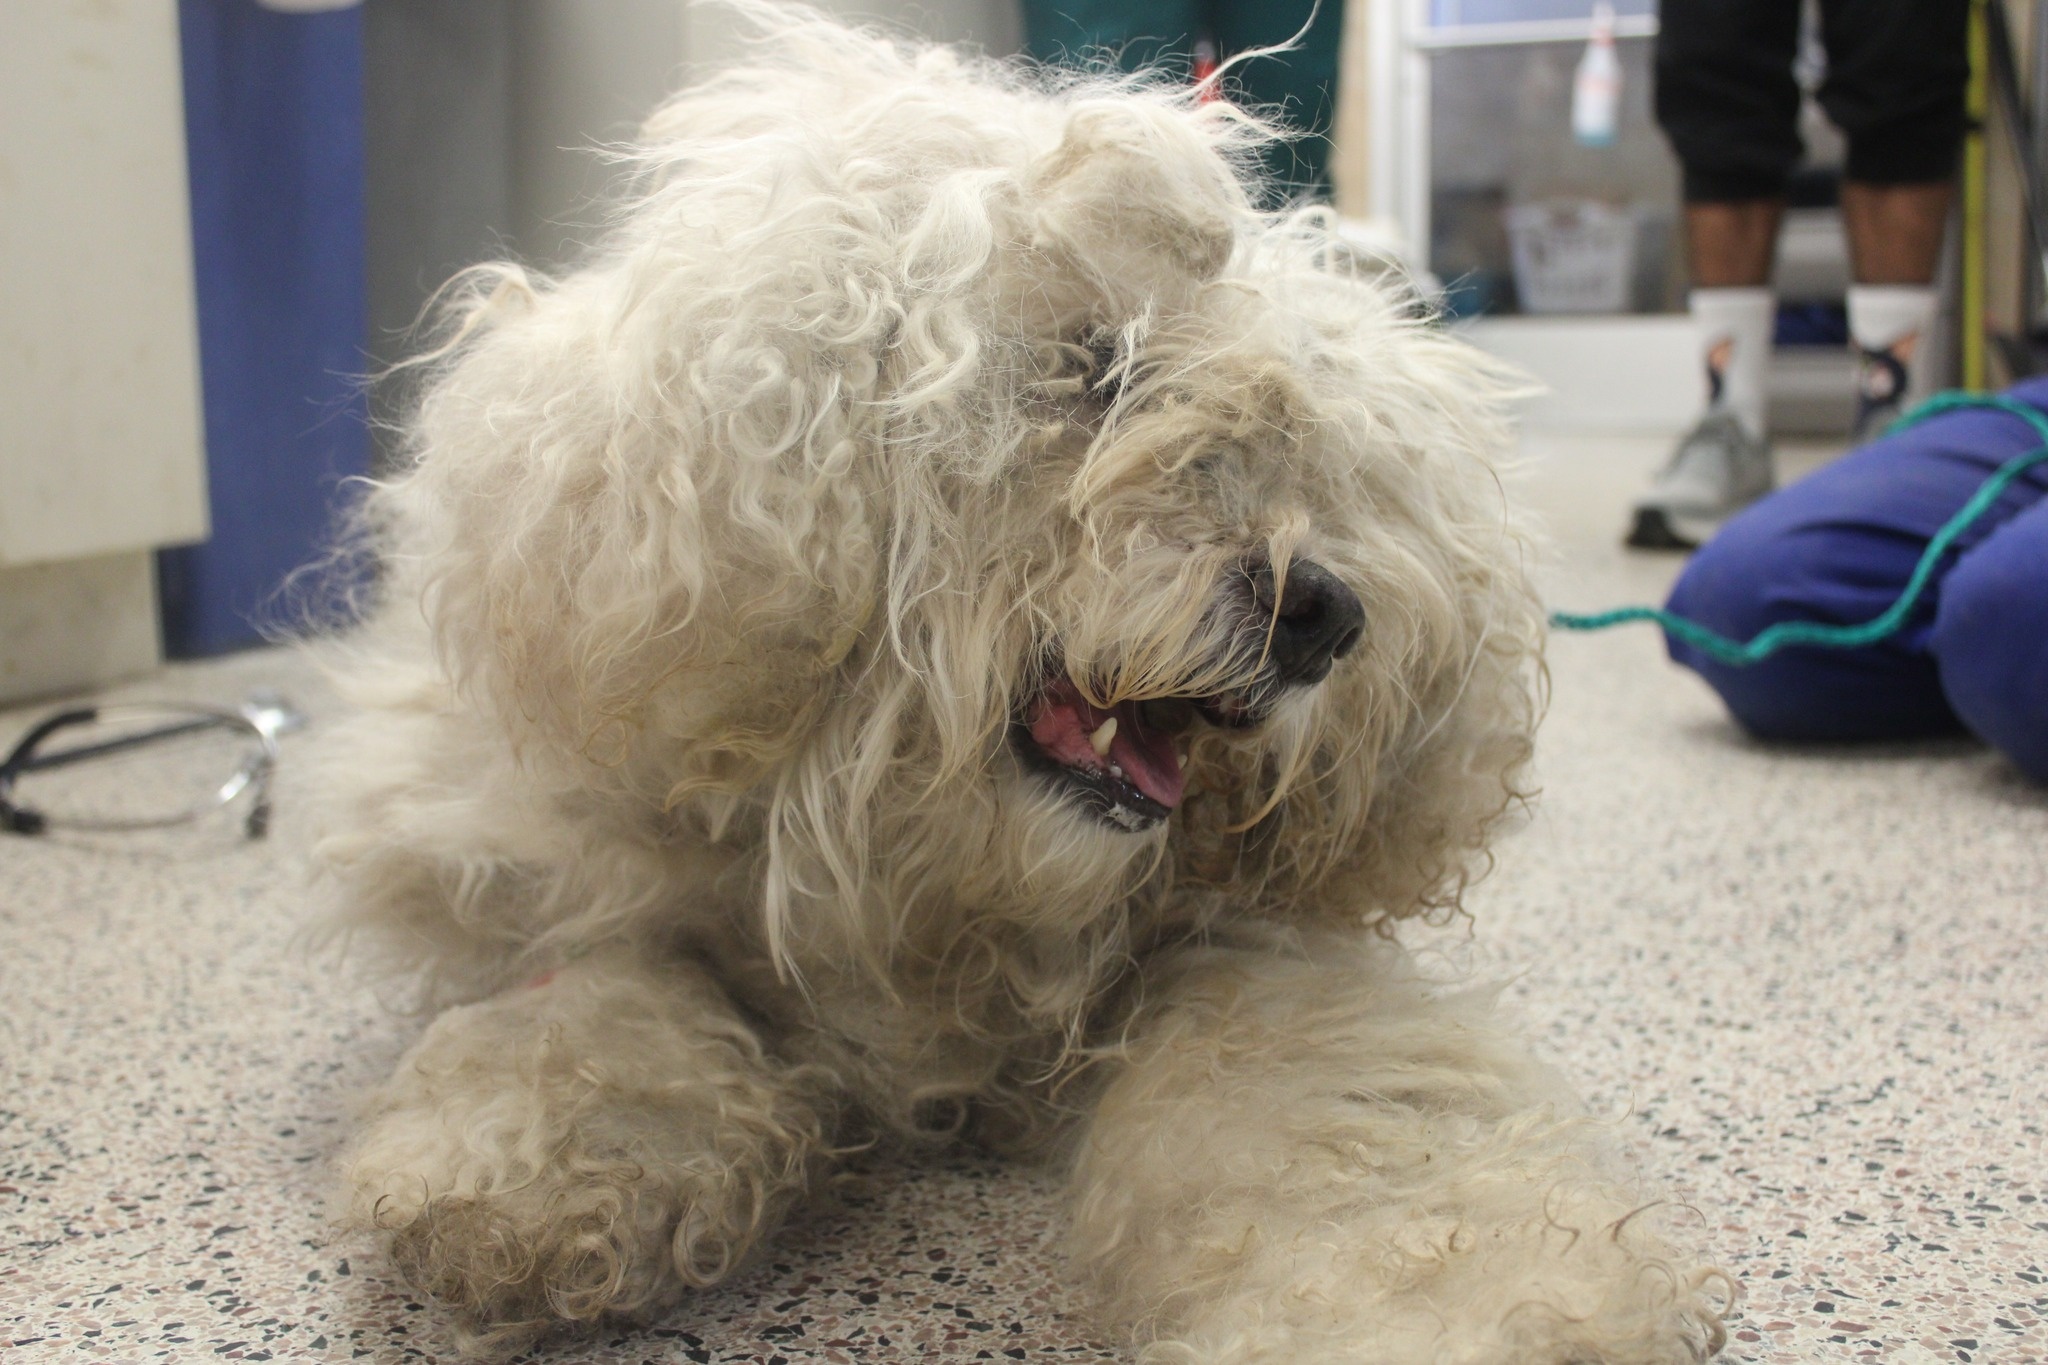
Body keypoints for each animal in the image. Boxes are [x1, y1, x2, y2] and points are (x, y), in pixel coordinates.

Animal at [315, 7, 1728, 1358]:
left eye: (1318, 446)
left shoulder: (1234, 963)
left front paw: (1454, 1314)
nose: (1323, 614)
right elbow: (604, 983)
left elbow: (1346, 1143)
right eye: (1096, 365)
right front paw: (548, 1159)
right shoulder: (578, 859)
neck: (933, 912)